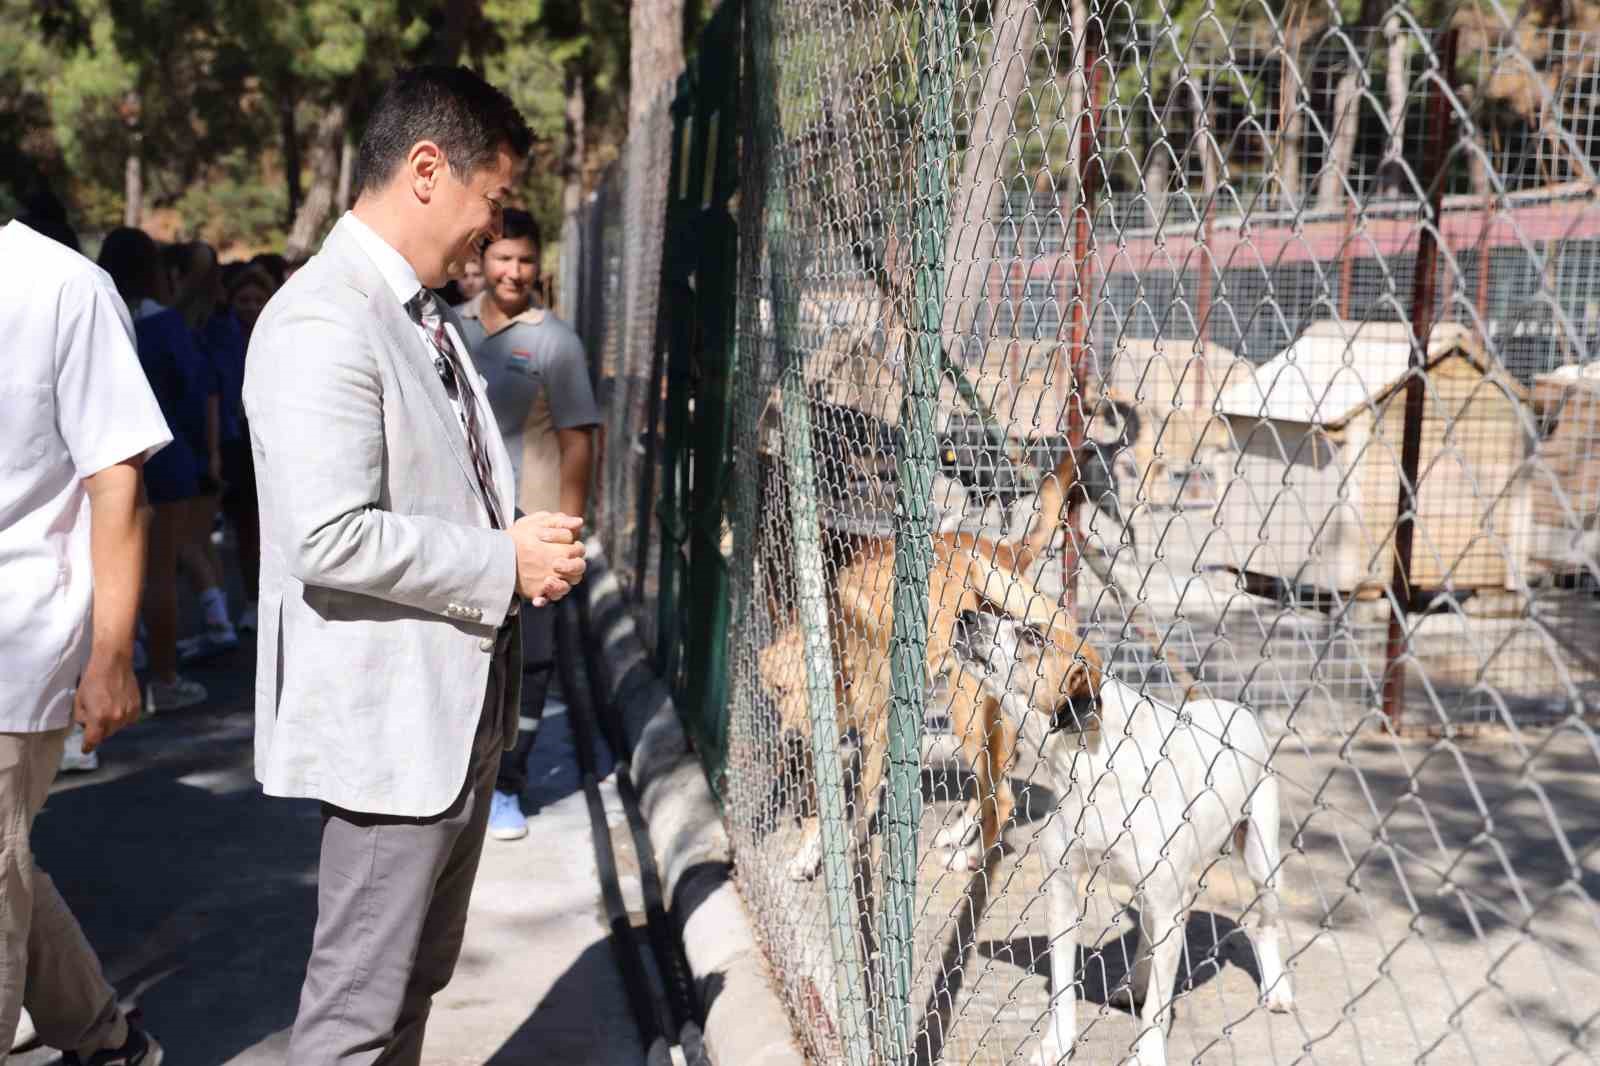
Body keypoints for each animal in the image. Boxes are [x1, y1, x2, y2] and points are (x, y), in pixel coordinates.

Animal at [758, 444, 1107, 870]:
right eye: (778, 689)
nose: (790, 739)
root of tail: (1002, 549)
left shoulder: (876, 733)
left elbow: (859, 805)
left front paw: (849, 851)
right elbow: (818, 804)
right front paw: (810, 853)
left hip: (966, 710)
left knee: (1001, 795)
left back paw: (972, 858)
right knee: (992, 783)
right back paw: (956, 835)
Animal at [953, 611, 1292, 1062]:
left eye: (1033, 636)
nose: (966, 615)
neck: (1092, 766)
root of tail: (1230, 705)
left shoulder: (1168, 899)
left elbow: (1157, 1009)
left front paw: (1148, 1053)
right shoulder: (1062, 892)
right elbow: (1062, 990)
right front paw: (1057, 1043)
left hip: (1262, 862)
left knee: (1266, 927)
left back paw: (1277, 989)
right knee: (1149, 931)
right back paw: (1135, 983)